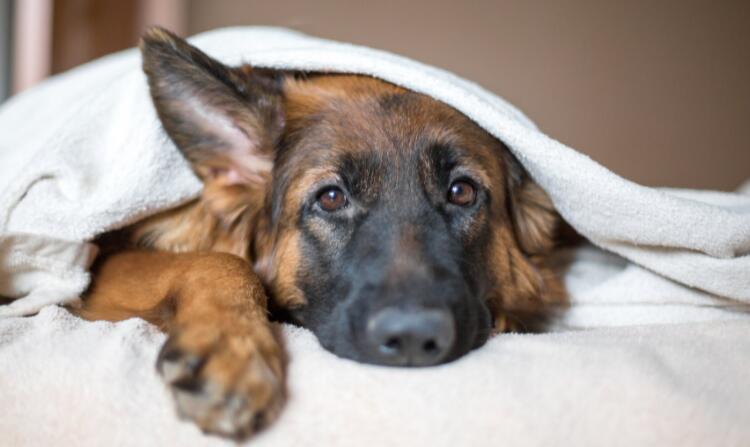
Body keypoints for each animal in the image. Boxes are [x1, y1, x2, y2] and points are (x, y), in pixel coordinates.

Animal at [76, 27, 566, 439]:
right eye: (331, 198)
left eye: (462, 192)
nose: (412, 338)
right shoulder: (102, 269)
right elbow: (221, 260)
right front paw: (231, 346)